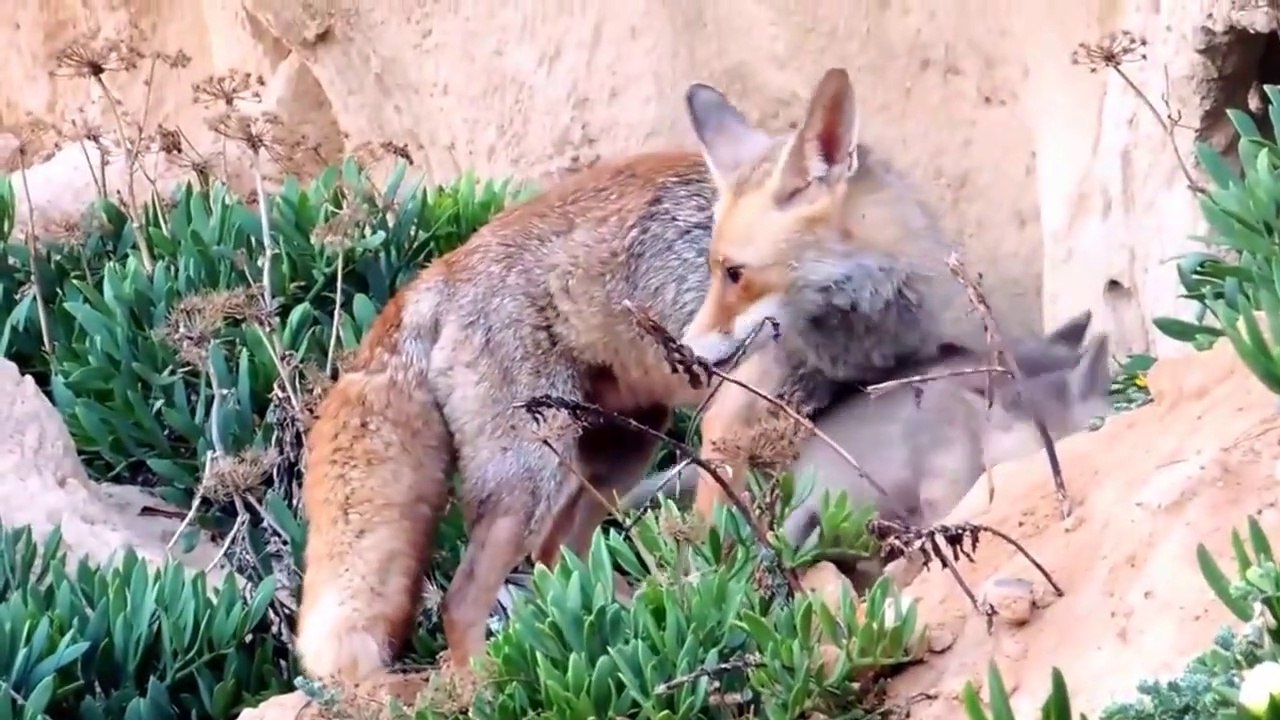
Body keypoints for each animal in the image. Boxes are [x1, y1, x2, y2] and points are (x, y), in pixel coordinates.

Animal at [295, 67, 984, 685]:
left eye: (735, 274)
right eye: (711, 268)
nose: (689, 351)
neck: (859, 330)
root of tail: (438, 268)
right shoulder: (727, 429)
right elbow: (718, 541)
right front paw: (720, 608)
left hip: (617, 454)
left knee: (554, 564)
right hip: (533, 474)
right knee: (461, 600)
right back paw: (483, 686)